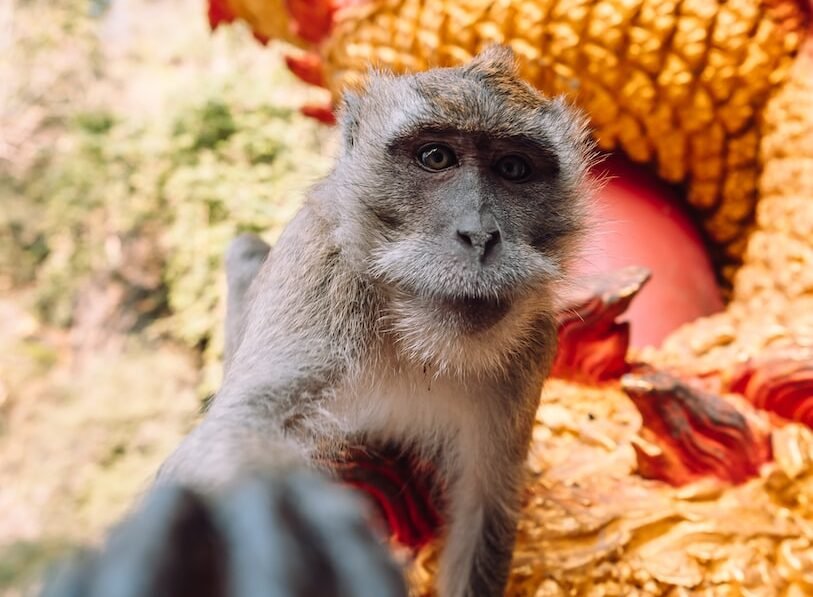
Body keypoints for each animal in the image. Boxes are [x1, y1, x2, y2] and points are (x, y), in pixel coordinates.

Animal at [133, 46, 592, 596]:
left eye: (513, 168)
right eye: (436, 157)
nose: (480, 236)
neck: (417, 339)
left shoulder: (533, 347)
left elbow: (484, 511)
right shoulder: (322, 279)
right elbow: (234, 435)